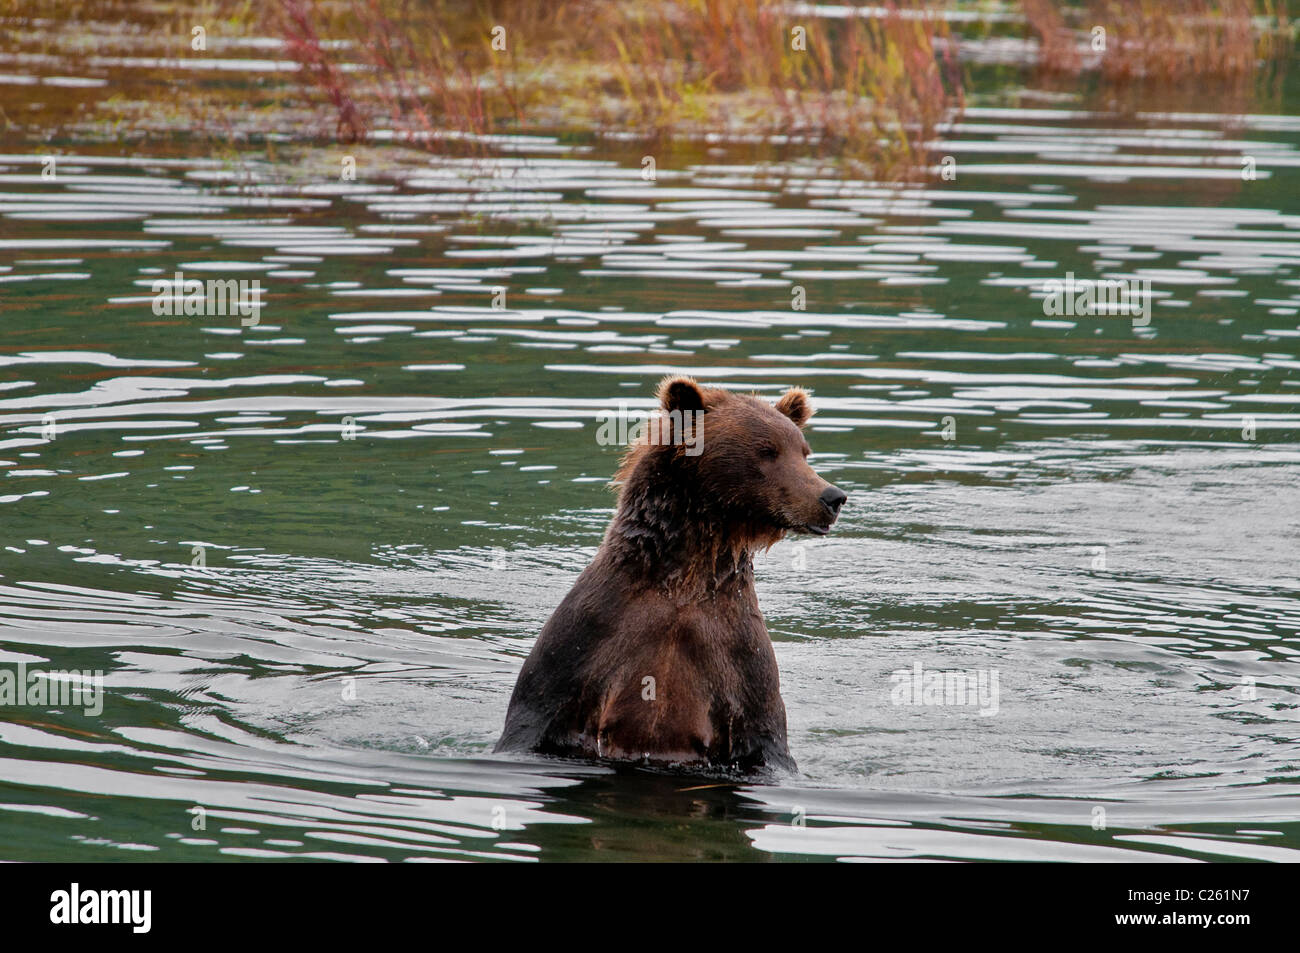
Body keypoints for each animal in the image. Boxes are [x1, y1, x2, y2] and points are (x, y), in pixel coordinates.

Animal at [491, 374, 847, 774]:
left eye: (803, 451)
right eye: (767, 450)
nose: (832, 497)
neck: (684, 580)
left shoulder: (740, 657)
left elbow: (766, 737)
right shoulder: (588, 638)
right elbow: (535, 716)